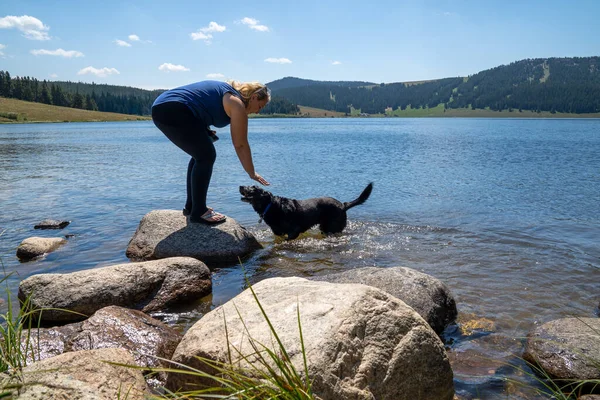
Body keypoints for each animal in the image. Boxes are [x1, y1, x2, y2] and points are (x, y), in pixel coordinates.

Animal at [238, 182, 370, 241]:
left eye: (253, 187)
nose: (240, 186)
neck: (271, 206)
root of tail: (343, 205)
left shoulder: (294, 231)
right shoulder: (277, 232)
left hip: (332, 227)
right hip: (324, 227)